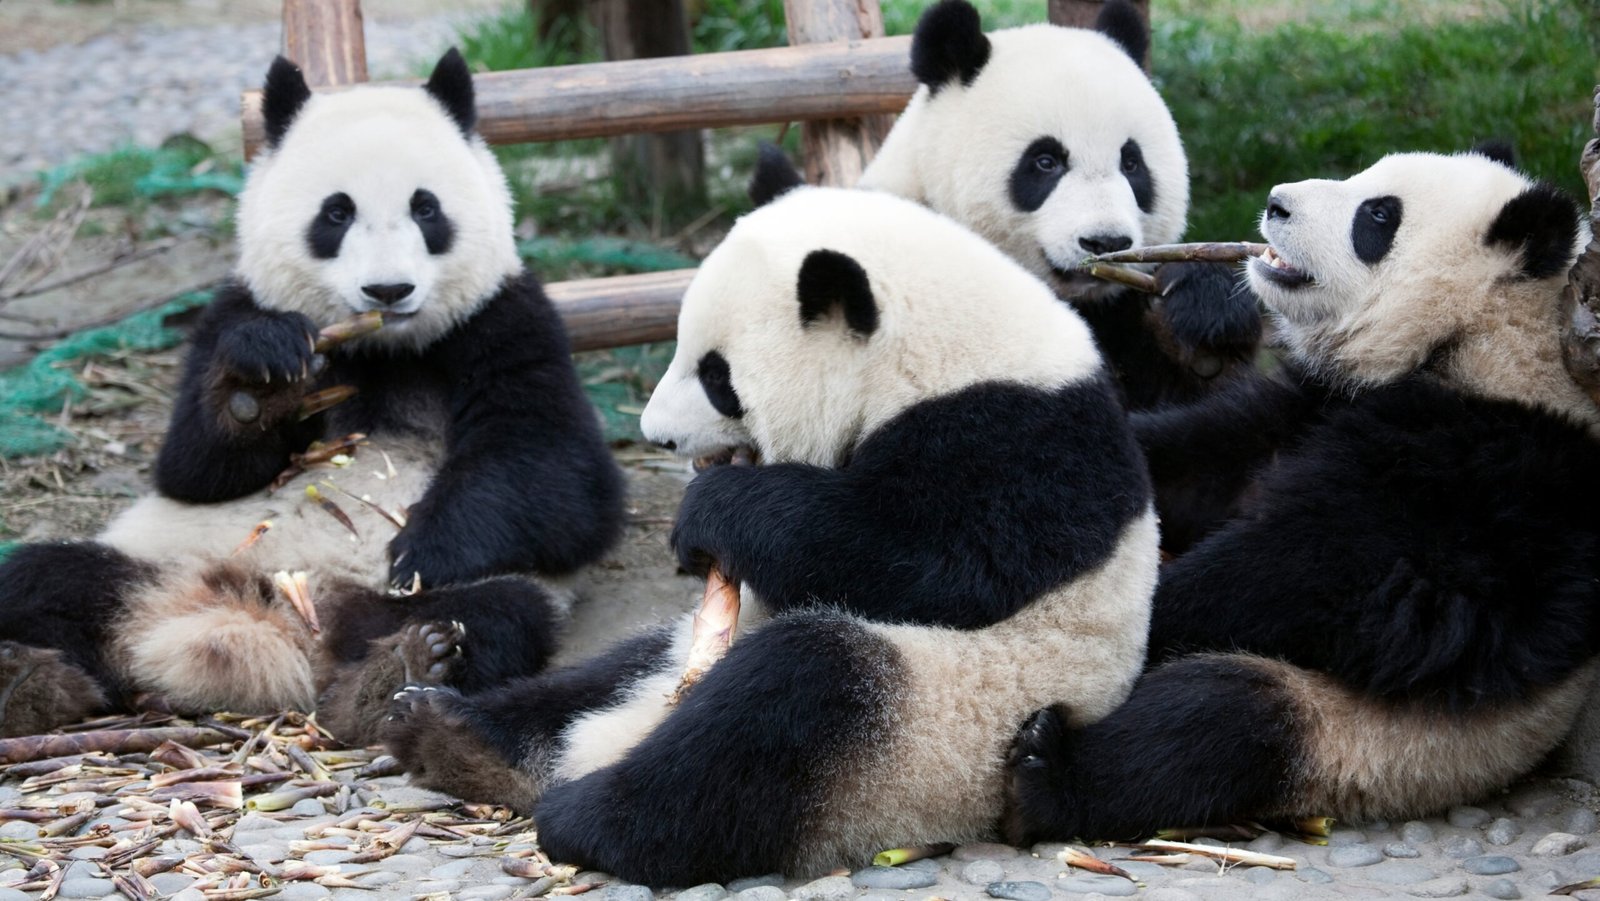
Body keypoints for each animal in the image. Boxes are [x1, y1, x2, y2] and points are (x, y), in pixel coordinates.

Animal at [0, 50, 625, 743]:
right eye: (336, 213)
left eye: (426, 208)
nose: (388, 290)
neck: (383, 347)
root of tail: (262, 621)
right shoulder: (231, 311)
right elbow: (191, 469)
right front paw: (256, 387)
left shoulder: (505, 321)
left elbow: (562, 482)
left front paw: (421, 552)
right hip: (157, 555)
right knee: (39, 578)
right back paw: (28, 683)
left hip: (417, 601)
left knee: (497, 614)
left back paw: (394, 672)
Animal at [380, 183, 1160, 884]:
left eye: (716, 374)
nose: (656, 436)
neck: (942, 348)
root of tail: (618, 737)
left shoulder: (1018, 439)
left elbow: (938, 562)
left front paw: (712, 511)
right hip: (688, 655)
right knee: (600, 676)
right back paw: (443, 723)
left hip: (942, 732)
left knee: (784, 702)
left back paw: (584, 813)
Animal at [1002, 148, 1600, 843]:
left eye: (1378, 216)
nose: (1277, 203)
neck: (1482, 337)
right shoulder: (1313, 403)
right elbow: (1203, 461)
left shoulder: (1498, 474)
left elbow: (1337, 581)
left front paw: (1148, 609)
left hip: (1369, 743)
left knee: (1215, 722)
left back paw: (1044, 776)